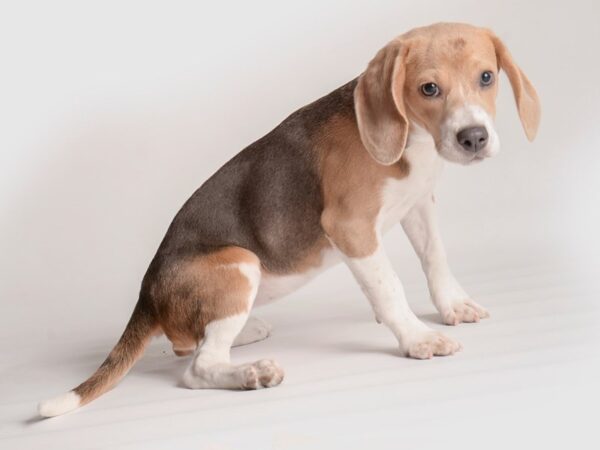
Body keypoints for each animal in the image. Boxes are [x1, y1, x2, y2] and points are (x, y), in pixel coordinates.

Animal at [39, 20, 540, 414]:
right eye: (429, 89)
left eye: (487, 77)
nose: (473, 137)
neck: (413, 140)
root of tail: (147, 293)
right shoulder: (350, 228)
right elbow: (390, 288)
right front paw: (418, 338)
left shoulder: (418, 203)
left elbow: (435, 258)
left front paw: (452, 306)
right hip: (241, 262)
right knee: (198, 367)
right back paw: (249, 374)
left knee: (187, 343)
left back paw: (243, 333)